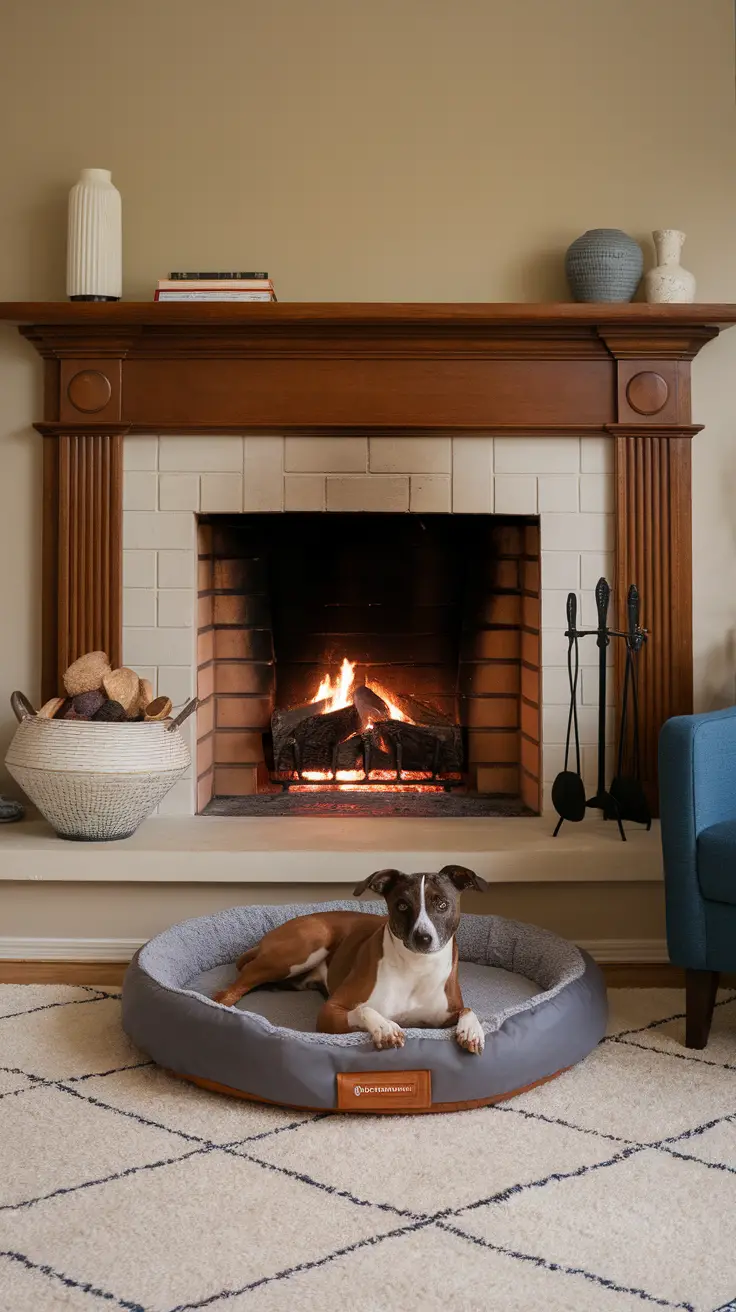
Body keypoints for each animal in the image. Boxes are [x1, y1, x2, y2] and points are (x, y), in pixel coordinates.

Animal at [212, 860, 488, 1054]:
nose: (423, 938)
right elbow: (364, 1009)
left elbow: (468, 1009)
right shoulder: (330, 1012)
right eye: (401, 905)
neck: (416, 966)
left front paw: (471, 1030)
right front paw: (384, 1027)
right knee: (227, 992)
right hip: (305, 946)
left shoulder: (445, 1014)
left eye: (442, 904)